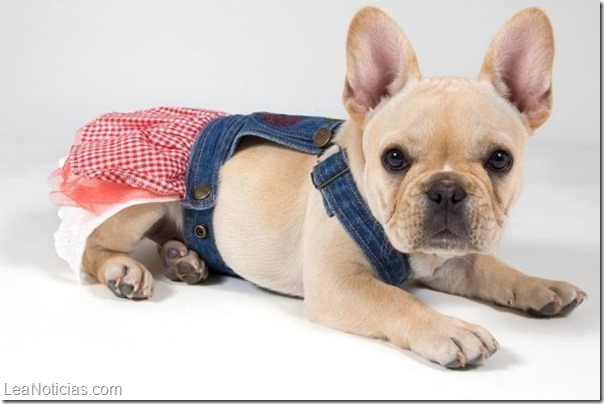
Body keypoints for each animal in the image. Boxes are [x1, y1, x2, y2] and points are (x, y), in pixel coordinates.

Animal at [68, 7, 586, 368]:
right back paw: (123, 270)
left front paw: (540, 285)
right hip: (141, 199)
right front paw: (449, 329)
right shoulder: (338, 283)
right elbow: (397, 298)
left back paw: (184, 259)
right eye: (394, 158)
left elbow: (492, 267)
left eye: (500, 160)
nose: (446, 190)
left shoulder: (450, 260)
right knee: (92, 246)